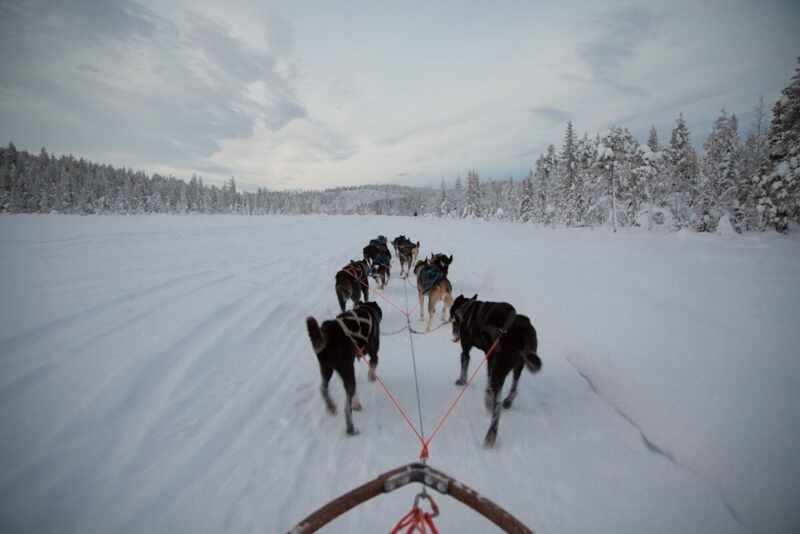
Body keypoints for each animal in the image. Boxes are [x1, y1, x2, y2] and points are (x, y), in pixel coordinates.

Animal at [304, 304, 382, 438]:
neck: (367, 309)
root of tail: (328, 330)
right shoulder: (373, 355)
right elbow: (373, 365)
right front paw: (371, 376)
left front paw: (356, 403)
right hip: (345, 369)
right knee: (346, 409)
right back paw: (351, 429)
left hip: (327, 369)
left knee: (323, 388)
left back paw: (331, 406)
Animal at [450, 296, 544, 450]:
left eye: (453, 319)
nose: (453, 334)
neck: (469, 308)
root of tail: (522, 331)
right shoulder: (490, 357)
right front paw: (487, 394)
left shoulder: (468, 351)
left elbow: (464, 364)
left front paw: (462, 381)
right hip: (518, 365)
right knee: (514, 387)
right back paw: (507, 400)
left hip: (500, 370)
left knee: (497, 409)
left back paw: (491, 433)